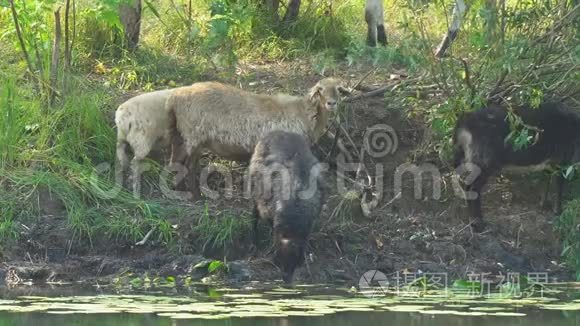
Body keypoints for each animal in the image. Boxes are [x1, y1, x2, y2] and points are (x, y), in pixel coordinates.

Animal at [165, 77, 346, 199]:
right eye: (320, 89)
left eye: (338, 88)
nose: (331, 103)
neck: (305, 114)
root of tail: (176, 97)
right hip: (194, 135)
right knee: (188, 165)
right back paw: (195, 195)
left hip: (181, 134)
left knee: (176, 161)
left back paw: (178, 188)